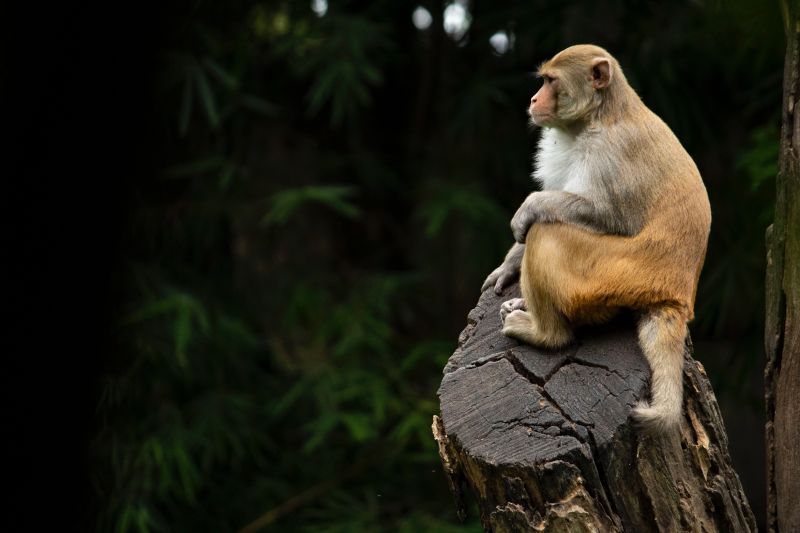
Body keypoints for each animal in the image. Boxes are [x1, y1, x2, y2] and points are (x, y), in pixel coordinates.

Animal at [482, 44, 711, 432]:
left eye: (550, 81)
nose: (534, 98)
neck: (597, 117)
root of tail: (678, 294)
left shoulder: (612, 151)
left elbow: (607, 215)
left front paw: (529, 208)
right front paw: (509, 264)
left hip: (611, 276)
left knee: (547, 232)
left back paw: (545, 334)